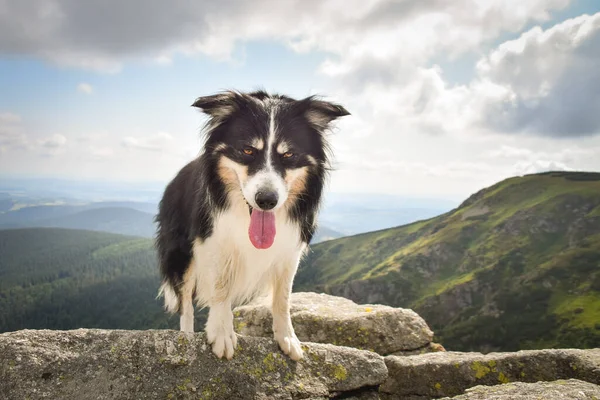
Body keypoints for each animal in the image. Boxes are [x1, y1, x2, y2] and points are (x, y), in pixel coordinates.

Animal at [155, 90, 350, 360]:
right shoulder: (214, 241)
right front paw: (222, 333)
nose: (266, 200)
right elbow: (220, 287)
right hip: (181, 253)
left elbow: (283, 298)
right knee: (184, 301)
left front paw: (287, 337)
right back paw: (185, 337)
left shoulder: (289, 249)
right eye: (248, 150)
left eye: (288, 155)